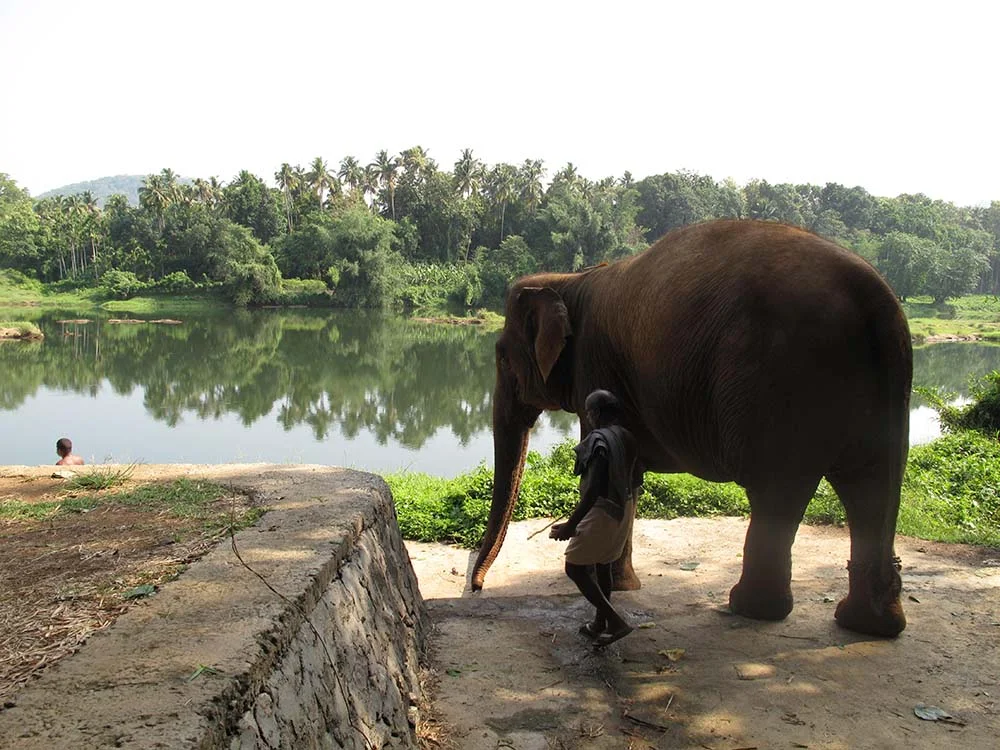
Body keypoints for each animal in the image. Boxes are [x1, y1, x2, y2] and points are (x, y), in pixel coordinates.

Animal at [471, 219, 912, 638]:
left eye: (502, 357)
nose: (475, 587)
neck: (571, 279)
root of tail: (874, 295)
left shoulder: (594, 362)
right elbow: (630, 476)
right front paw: (624, 586)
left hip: (781, 384)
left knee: (778, 492)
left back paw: (749, 608)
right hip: (882, 394)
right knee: (872, 485)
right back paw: (869, 624)